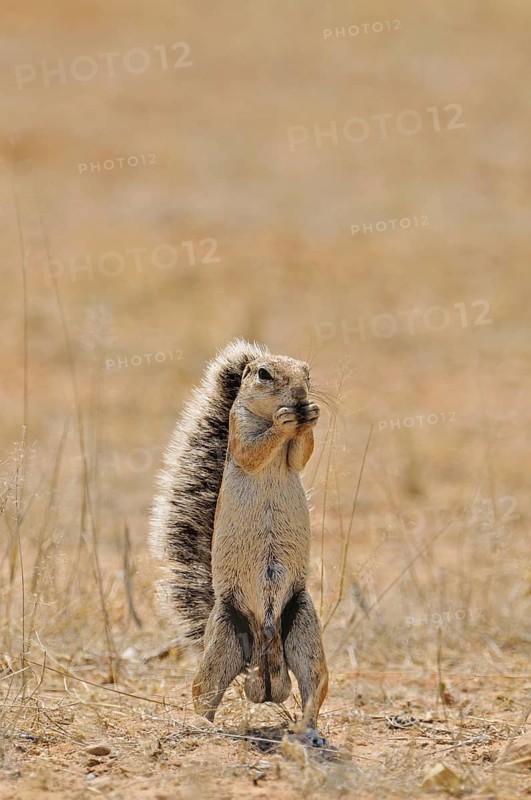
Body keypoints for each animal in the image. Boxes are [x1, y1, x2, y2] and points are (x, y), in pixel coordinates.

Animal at [149, 339, 328, 745]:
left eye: (308, 373)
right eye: (263, 373)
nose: (300, 396)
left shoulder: (295, 453)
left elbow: (301, 455)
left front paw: (311, 414)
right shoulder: (240, 429)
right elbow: (253, 450)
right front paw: (284, 420)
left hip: (304, 628)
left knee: (313, 687)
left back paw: (309, 732)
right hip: (223, 642)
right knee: (203, 692)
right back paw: (202, 727)